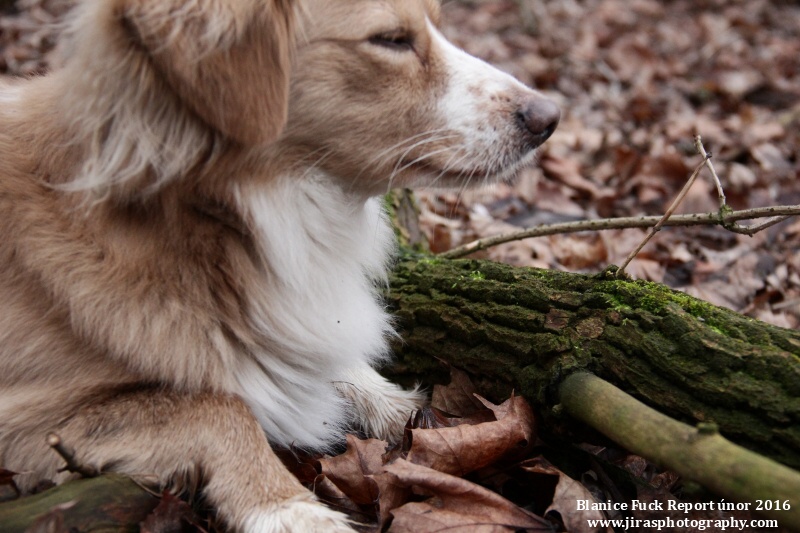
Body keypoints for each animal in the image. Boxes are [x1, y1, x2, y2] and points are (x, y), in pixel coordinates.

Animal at [0, 0, 560, 528]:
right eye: (391, 39)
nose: (550, 117)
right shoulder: (27, 420)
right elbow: (219, 406)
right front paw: (287, 507)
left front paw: (399, 406)